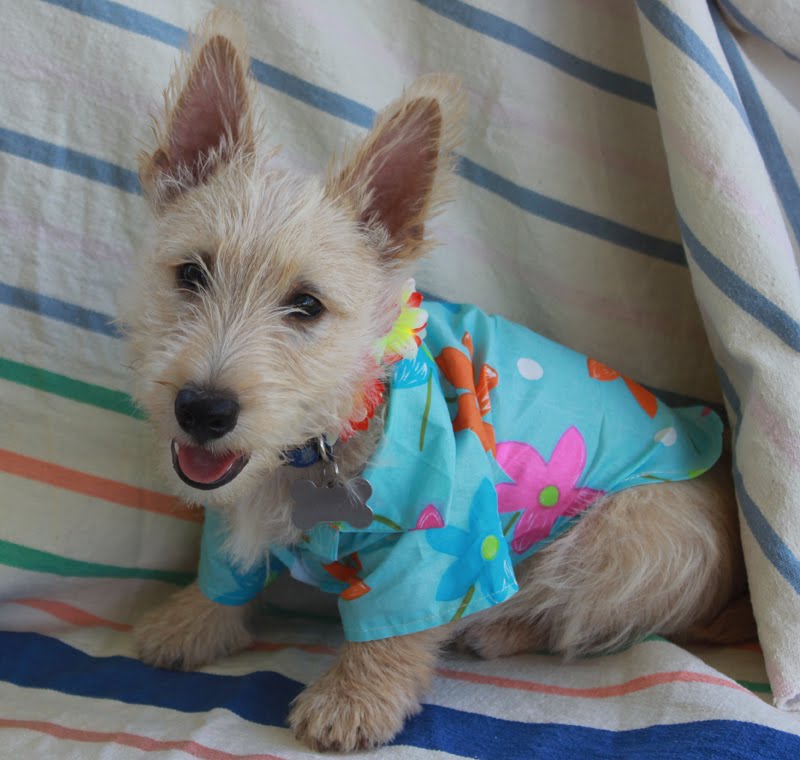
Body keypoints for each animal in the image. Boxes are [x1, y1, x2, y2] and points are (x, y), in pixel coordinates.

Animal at [126, 9, 752, 752]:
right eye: (191, 273)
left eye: (306, 305)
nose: (202, 409)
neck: (331, 433)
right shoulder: (230, 519)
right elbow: (225, 576)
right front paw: (186, 624)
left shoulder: (434, 542)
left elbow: (394, 632)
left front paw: (354, 700)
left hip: (622, 541)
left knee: (580, 614)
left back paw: (500, 626)